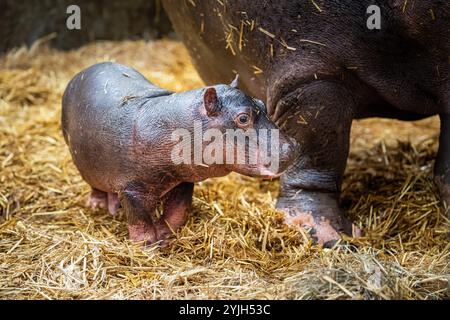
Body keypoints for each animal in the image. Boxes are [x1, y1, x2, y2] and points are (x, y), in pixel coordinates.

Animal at [62, 63, 296, 248]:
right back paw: (98, 206)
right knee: (95, 186)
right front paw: (149, 248)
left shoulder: (181, 179)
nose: (291, 148)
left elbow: (177, 211)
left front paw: (166, 236)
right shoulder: (132, 189)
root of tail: (80, 73)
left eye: (262, 104)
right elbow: (140, 223)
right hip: (85, 164)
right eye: (243, 118)